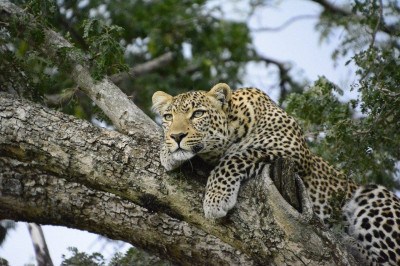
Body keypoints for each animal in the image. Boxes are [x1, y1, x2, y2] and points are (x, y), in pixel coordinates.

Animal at [152, 82, 400, 264]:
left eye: (198, 114)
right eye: (168, 117)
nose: (176, 136)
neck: (236, 123)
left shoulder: (290, 150)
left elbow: (236, 157)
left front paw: (216, 199)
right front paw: (167, 152)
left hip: (373, 196)